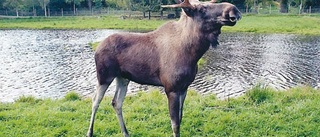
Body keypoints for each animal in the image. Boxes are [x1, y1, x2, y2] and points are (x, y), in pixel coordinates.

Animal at [86, 0, 241, 137]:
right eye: (202, 9)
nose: (233, 10)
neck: (192, 54)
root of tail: (98, 47)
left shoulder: (184, 88)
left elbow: (180, 118)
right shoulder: (171, 89)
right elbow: (175, 125)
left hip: (123, 78)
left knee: (116, 102)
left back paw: (126, 132)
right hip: (104, 76)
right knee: (95, 101)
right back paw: (90, 132)